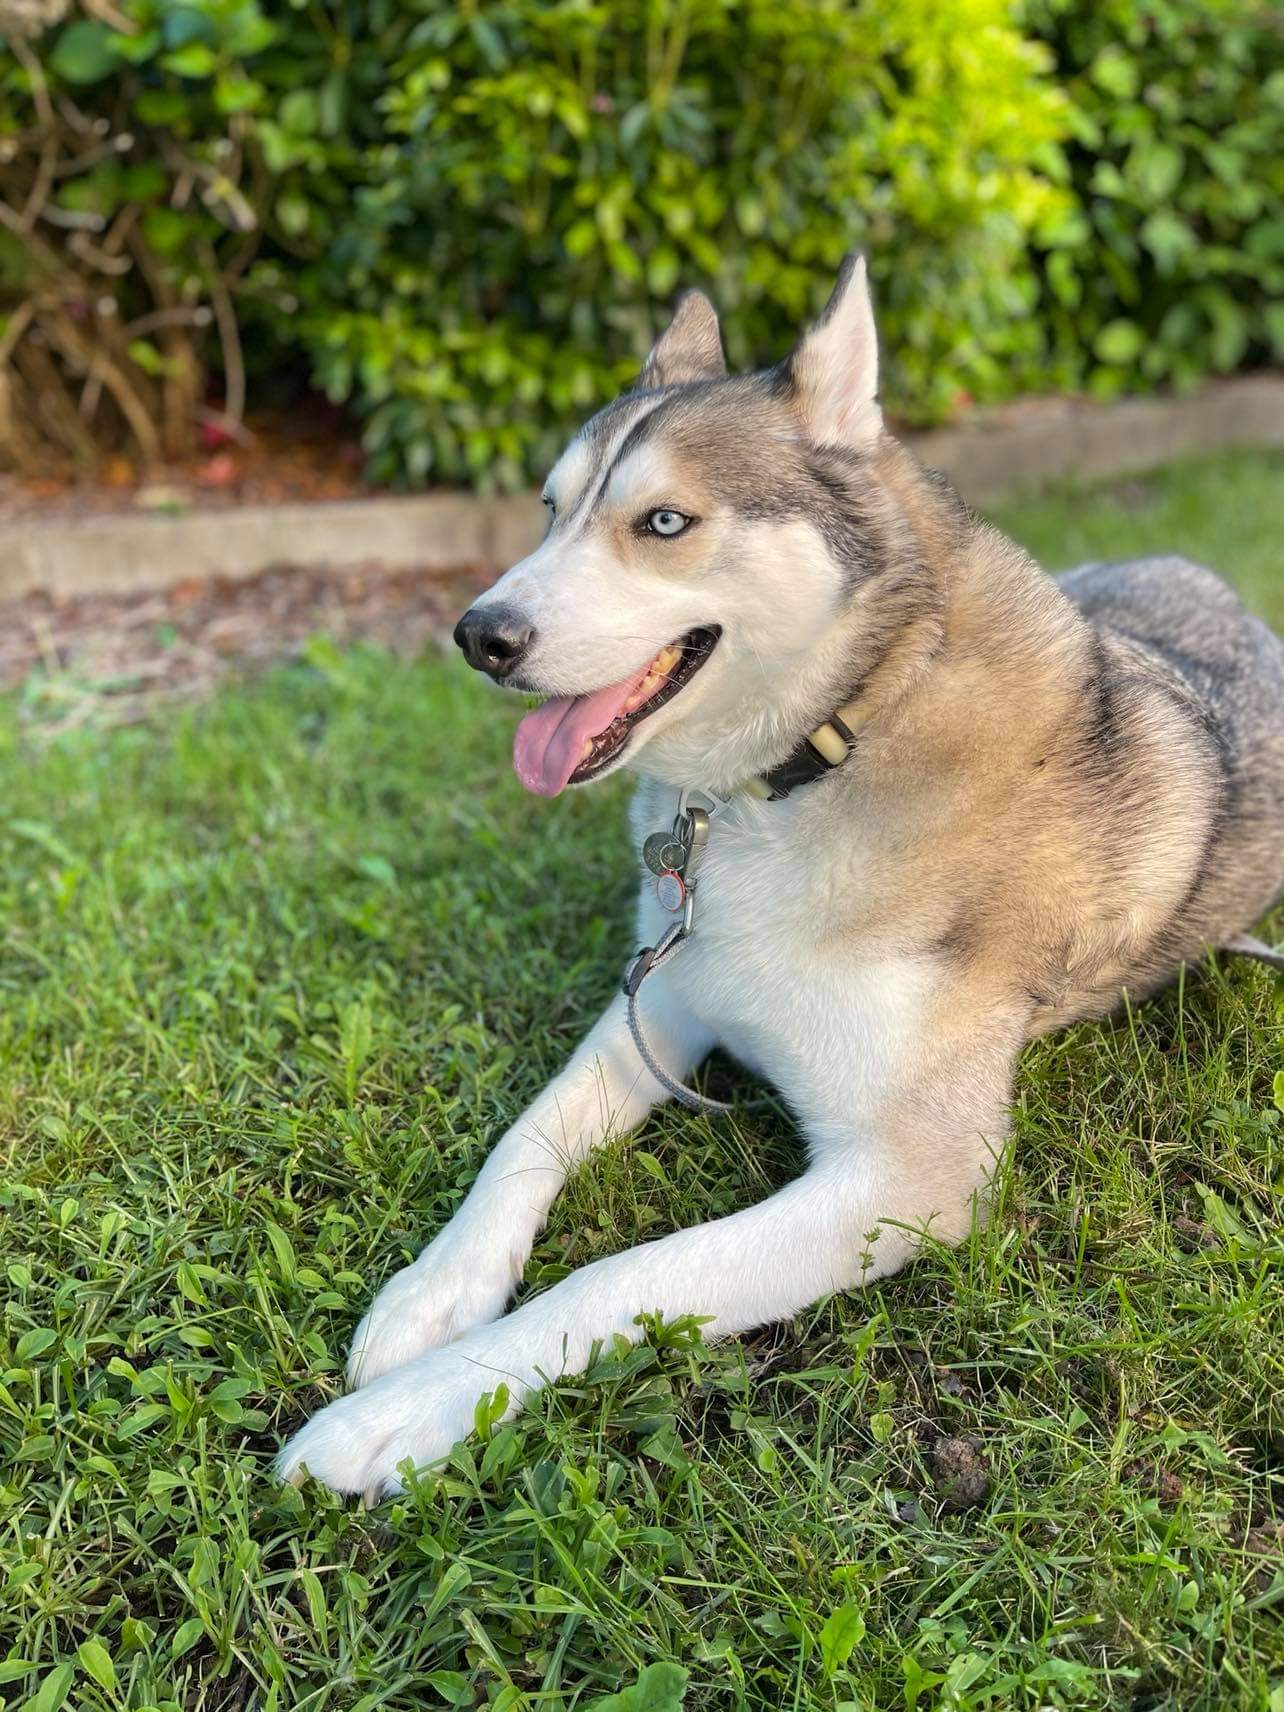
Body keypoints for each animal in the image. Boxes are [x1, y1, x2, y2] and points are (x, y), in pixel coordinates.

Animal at [278, 254, 1284, 1499]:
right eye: (552, 511)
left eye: (664, 521)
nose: (479, 634)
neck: (810, 758)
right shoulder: (665, 991)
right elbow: (526, 1135)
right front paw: (433, 1291)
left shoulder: (908, 1180)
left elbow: (621, 1275)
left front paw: (403, 1414)